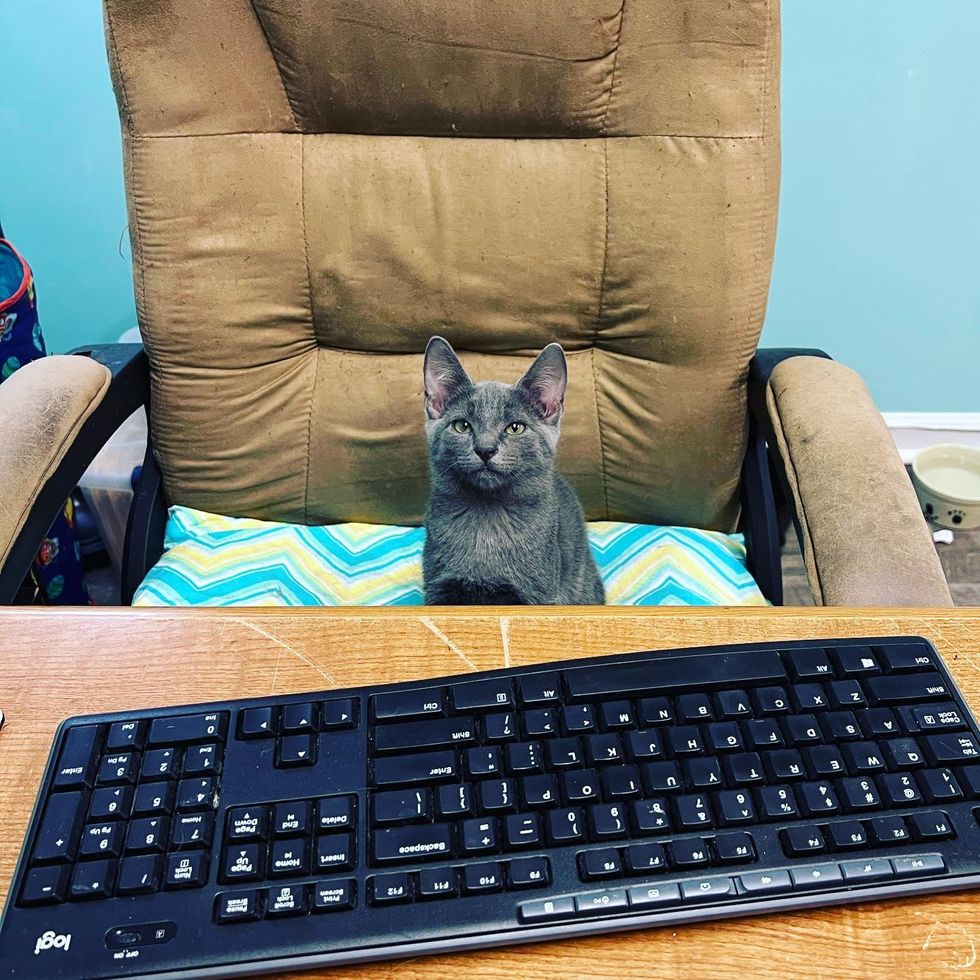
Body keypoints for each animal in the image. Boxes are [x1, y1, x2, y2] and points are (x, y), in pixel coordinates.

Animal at [422, 334, 604, 604]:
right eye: (462, 426)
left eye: (515, 427)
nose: (485, 449)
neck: (486, 516)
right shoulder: (440, 588)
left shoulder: (537, 593)